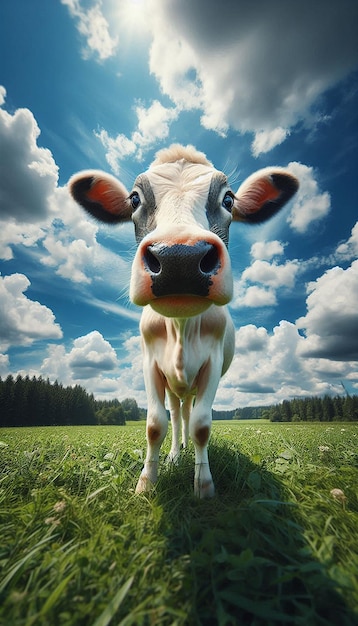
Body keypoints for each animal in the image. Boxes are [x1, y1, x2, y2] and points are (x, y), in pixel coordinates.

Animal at [68, 144, 298, 494]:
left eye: (228, 199)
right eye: (134, 199)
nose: (180, 257)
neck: (180, 326)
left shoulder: (212, 364)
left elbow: (201, 425)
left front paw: (203, 485)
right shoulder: (151, 364)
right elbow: (155, 424)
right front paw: (147, 483)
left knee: (189, 416)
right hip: (173, 386)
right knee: (177, 417)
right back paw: (177, 453)